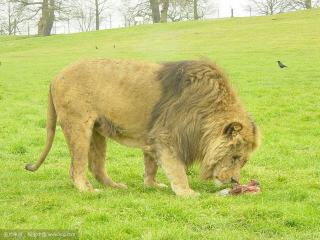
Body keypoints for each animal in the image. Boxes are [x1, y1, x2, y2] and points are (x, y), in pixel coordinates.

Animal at [25, 59, 260, 196]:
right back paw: (87, 190)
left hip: (97, 131)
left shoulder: (152, 137)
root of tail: (55, 77)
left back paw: (115, 187)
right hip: (78, 126)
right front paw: (187, 192)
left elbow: (151, 166)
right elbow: (177, 170)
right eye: (235, 157)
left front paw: (152, 185)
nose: (235, 181)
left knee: (95, 166)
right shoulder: (166, 137)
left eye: (242, 161)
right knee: (77, 167)